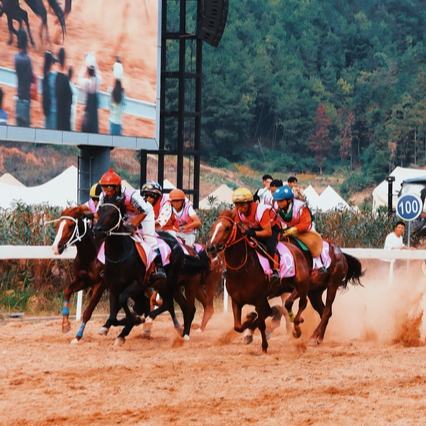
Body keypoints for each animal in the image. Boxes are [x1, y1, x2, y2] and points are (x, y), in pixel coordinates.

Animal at [50, 206, 105, 342]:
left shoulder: (101, 284)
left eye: (70, 226)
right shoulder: (84, 280)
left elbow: (88, 312)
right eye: (57, 225)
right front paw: (65, 325)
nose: (55, 248)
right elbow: (67, 291)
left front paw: (78, 336)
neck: (91, 255)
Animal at [206, 210, 310, 352]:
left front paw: (261, 342)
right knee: (288, 305)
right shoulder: (236, 301)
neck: (242, 270)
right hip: (285, 289)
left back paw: (297, 327)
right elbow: (239, 326)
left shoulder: (259, 300)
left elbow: (261, 320)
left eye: (227, 228)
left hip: (300, 286)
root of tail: (297, 250)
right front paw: (250, 329)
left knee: (298, 303)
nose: (210, 248)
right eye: (213, 226)